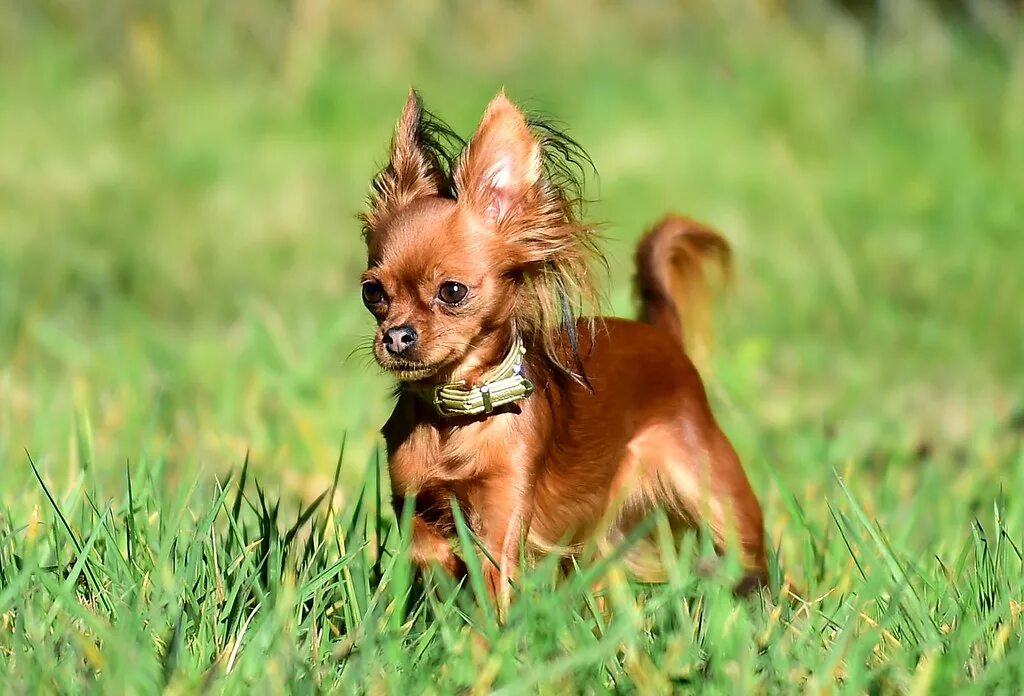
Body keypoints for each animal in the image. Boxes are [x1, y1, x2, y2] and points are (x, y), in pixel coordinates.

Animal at [356, 89, 765, 601]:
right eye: (372, 292)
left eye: (452, 291)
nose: (396, 335)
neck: (456, 418)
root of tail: (662, 335)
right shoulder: (412, 499)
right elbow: (427, 552)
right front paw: (447, 573)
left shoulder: (503, 510)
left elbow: (492, 586)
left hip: (716, 495)